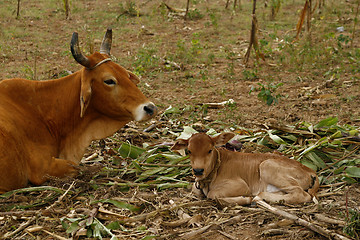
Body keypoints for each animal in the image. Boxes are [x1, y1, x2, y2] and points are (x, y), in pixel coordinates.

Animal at [173, 132, 320, 205]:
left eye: (209, 150)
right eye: (189, 151)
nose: (198, 170)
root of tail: (310, 170)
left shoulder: (241, 185)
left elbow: (212, 194)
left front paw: (244, 199)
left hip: (267, 166)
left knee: (301, 194)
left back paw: (258, 197)